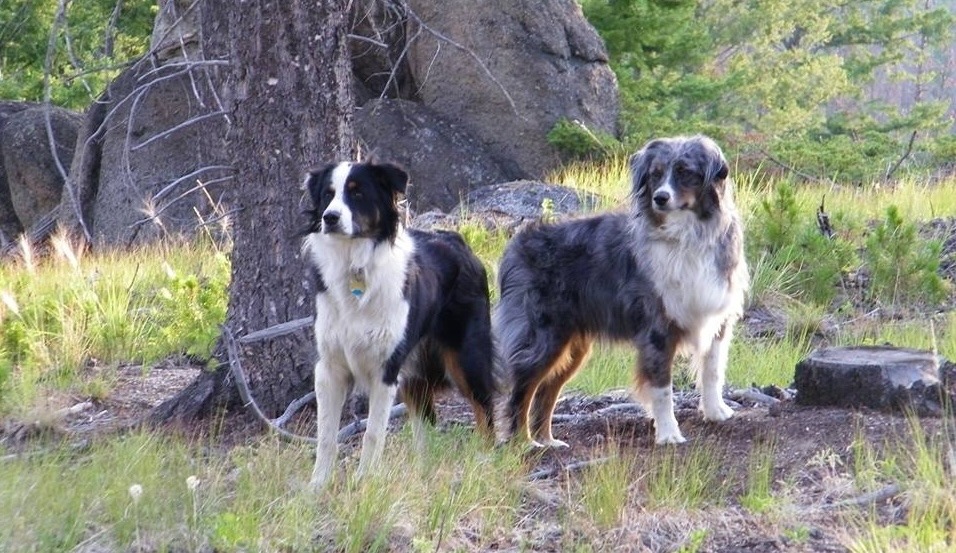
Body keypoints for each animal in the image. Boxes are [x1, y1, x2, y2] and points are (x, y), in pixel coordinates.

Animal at [302, 162, 496, 486]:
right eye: (328, 194)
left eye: (357, 192)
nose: (330, 218)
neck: (355, 266)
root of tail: (460, 241)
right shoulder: (329, 367)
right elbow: (326, 436)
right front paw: (316, 486)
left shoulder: (385, 369)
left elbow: (372, 434)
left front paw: (364, 481)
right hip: (415, 374)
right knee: (425, 422)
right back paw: (422, 470)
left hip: (465, 357)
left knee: (486, 407)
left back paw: (487, 458)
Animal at [496, 136, 752, 446]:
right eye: (655, 175)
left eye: (684, 172)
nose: (660, 198)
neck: (688, 234)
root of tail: (514, 245)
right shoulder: (657, 327)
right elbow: (662, 389)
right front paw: (669, 434)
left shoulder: (716, 317)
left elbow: (713, 371)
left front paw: (716, 412)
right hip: (544, 336)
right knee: (522, 388)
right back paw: (524, 442)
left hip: (572, 345)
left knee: (546, 392)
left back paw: (548, 441)